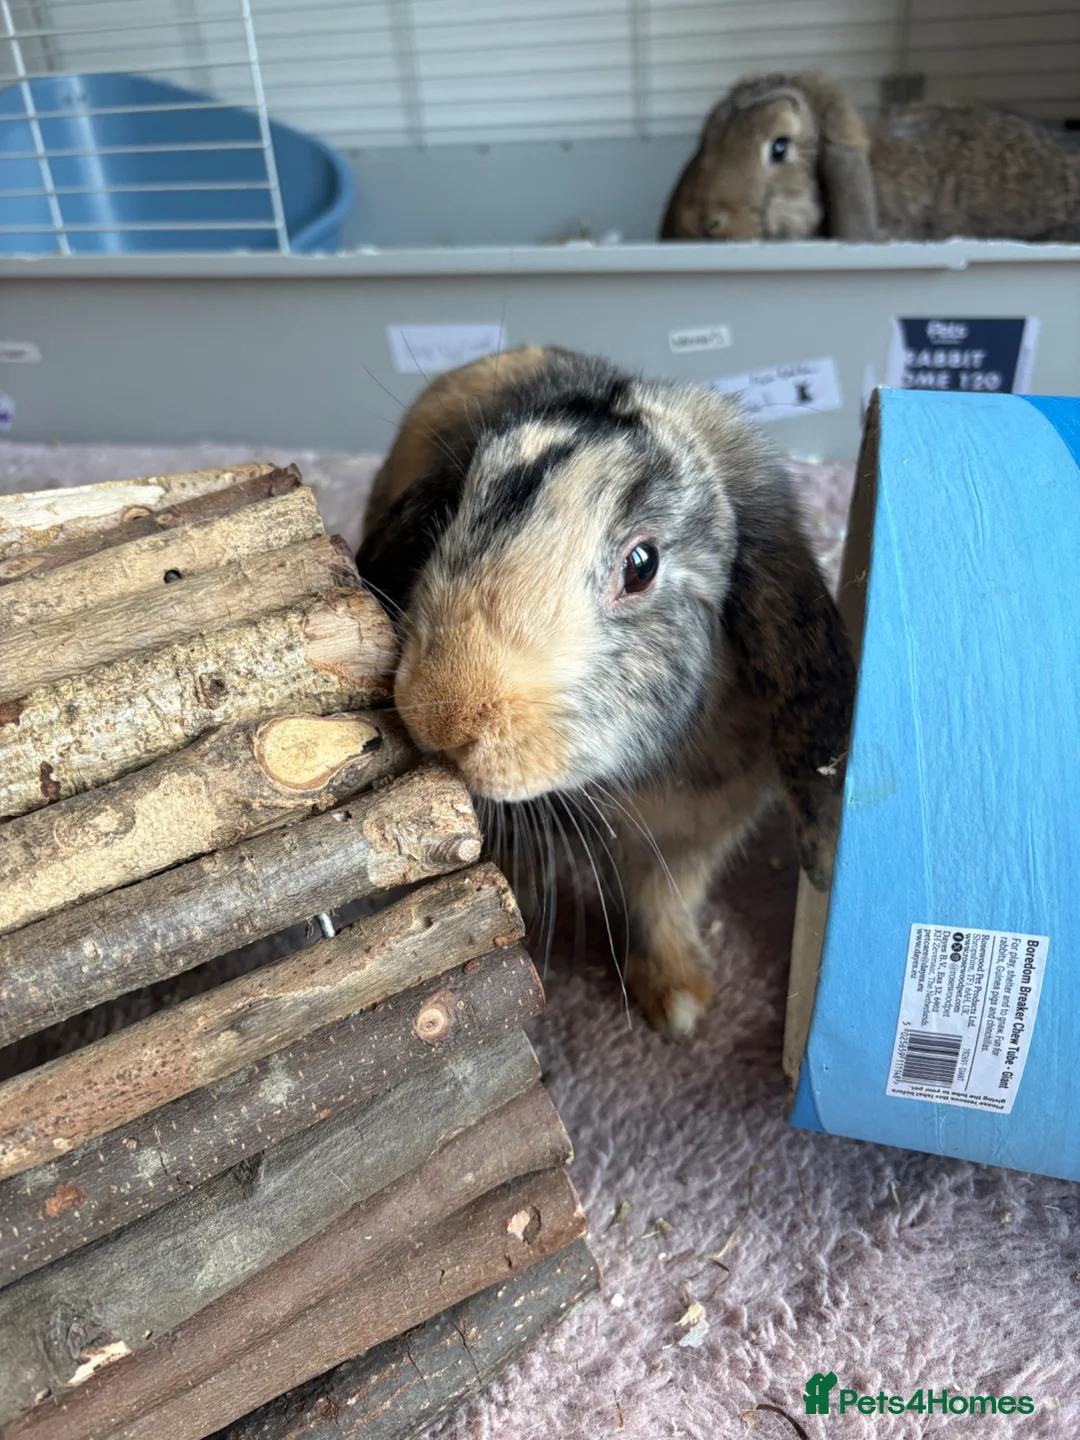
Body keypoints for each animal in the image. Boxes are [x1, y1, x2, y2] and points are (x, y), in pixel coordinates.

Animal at [357, 346, 854, 1039]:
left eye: (641, 565)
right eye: (453, 513)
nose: (443, 717)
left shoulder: (694, 835)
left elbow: (662, 902)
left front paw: (678, 1003)